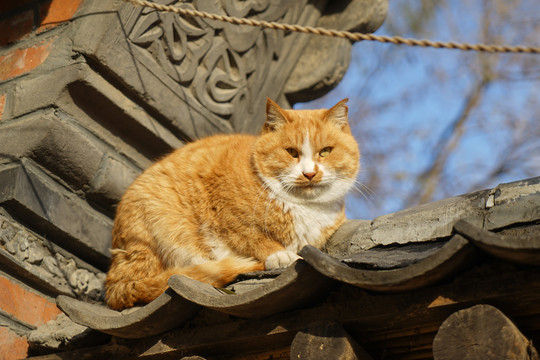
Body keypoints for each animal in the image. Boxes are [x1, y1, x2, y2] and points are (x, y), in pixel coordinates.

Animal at [104, 99, 358, 310]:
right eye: (292, 152)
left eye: (325, 152)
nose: (309, 174)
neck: (303, 207)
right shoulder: (226, 211)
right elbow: (251, 236)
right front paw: (278, 254)